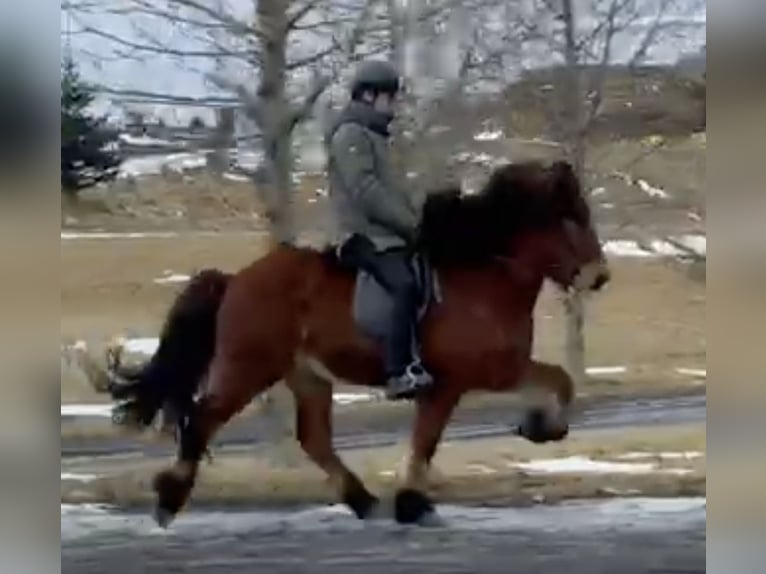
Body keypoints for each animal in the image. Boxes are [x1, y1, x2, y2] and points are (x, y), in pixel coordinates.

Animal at [86, 159, 610, 527]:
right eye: (569, 220)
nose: (599, 277)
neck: (482, 276)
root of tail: (235, 280)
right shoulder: (464, 378)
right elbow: (427, 441)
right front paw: (414, 504)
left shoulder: (500, 368)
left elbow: (558, 380)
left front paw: (541, 426)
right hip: (249, 367)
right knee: (202, 420)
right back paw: (168, 501)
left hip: (307, 375)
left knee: (313, 439)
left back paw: (364, 502)